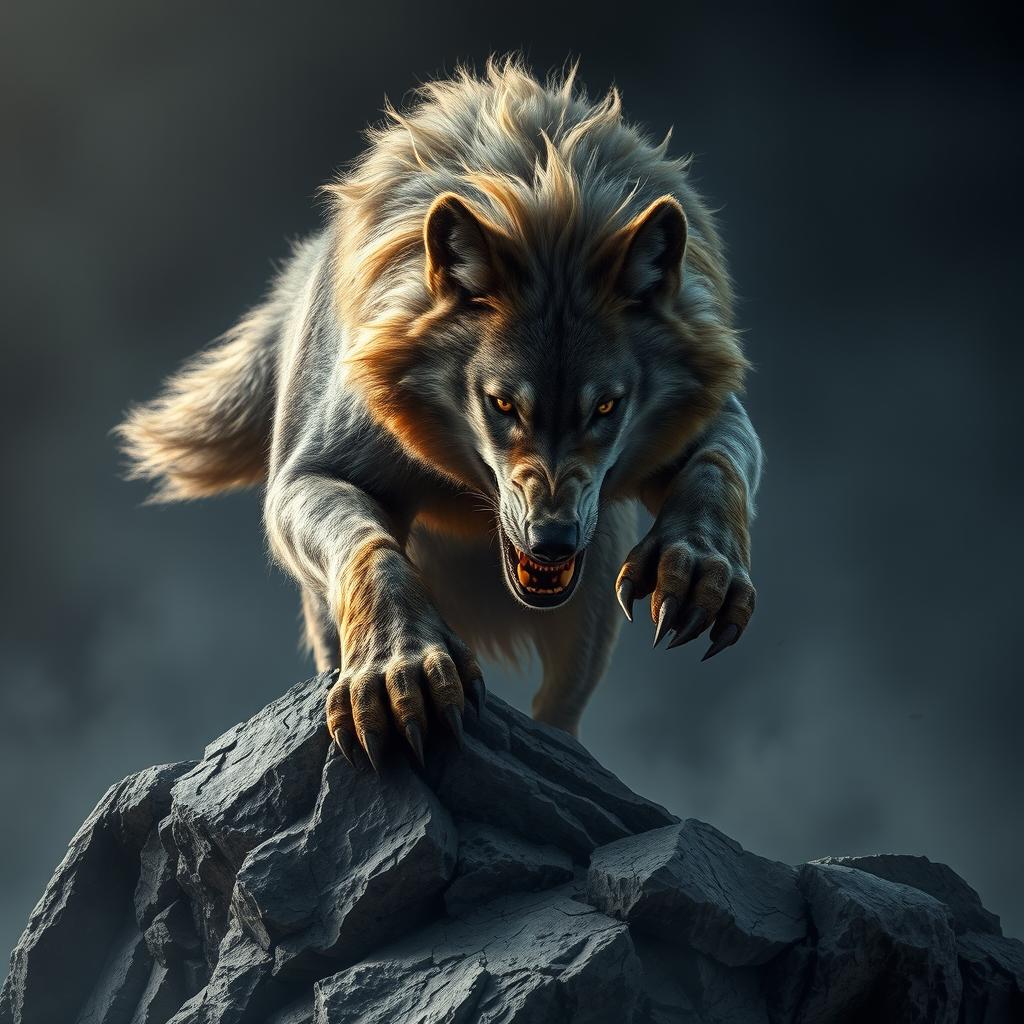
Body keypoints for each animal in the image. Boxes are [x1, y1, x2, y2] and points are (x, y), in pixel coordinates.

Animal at [118, 58, 763, 771]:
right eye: (502, 403)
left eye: (606, 407)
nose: (553, 540)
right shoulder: (307, 477)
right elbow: (369, 545)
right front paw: (399, 668)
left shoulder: (708, 416)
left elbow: (718, 465)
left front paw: (699, 565)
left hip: (595, 587)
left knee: (562, 706)